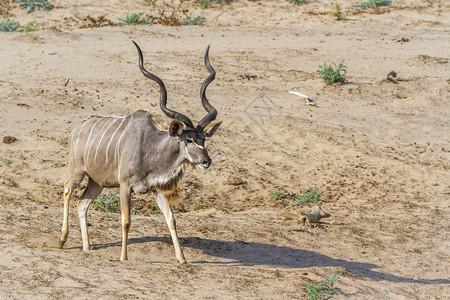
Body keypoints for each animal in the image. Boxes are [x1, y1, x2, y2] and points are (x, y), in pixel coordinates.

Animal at [59, 41, 221, 262]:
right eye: (189, 139)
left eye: (204, 139)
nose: (206, 161)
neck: (150, 148)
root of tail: (77, 128)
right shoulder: (125, 186)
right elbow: (126, 221)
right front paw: (123, 258)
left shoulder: (157, 189)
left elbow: (171, 220)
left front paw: (182, 260)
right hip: (78, 171)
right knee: (67, 190)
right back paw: (62, 239)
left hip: (97, 182)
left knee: (82, 203)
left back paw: (87, 247)